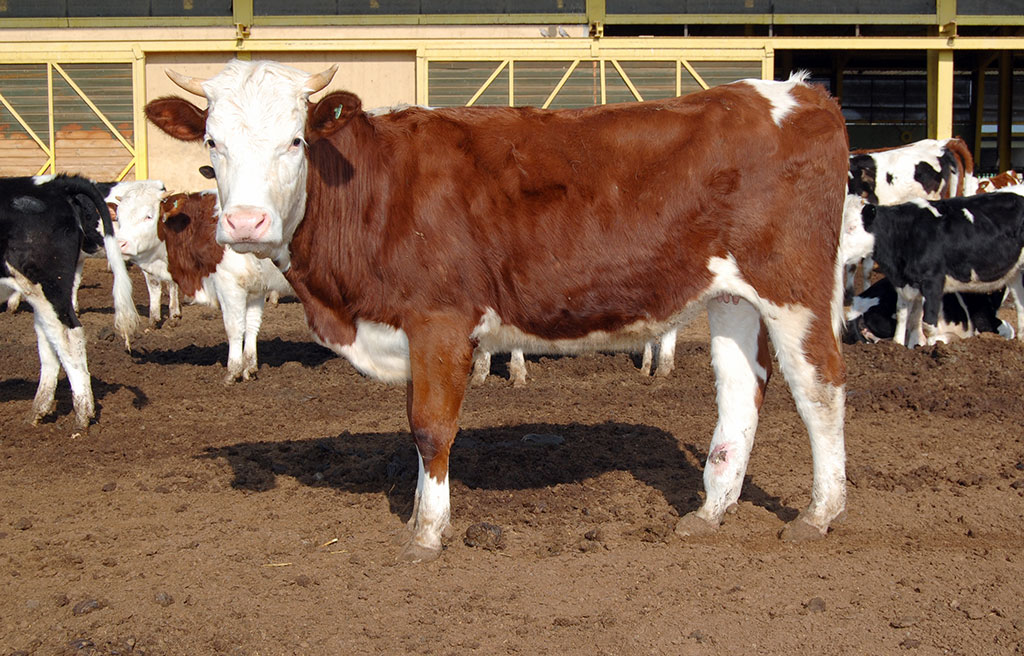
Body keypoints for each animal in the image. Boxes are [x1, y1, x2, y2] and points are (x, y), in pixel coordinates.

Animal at [0, 172, 136, 429]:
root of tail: (56, 184)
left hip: (48, 286)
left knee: (69, 335)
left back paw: (82, 415)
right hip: (41, 294)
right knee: (49, 339)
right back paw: (39, 409)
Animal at [116, 189, 292, 380]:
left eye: (148, 216)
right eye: (118, 217)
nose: (120, 244)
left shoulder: (229, 284)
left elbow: (234, 327)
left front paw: (233, 371)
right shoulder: (255, 288)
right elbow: (252, 325)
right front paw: (249, 369)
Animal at [144, 61, 847, 560]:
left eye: (295, 140)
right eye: (212, 142)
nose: (245, 222)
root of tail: (795, 93)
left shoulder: (439, 319)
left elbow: (431, 427)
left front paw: (427, 533)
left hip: (794, 287)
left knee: (819, 388)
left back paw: (820, 514)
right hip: (731, 295)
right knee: (741, 391)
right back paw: (709, 513)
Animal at [843, 185, 1024, 347]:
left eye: (852, 227)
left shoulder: (933, 281)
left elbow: (927, 324)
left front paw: (931, 348)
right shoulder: (904, 284)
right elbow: (905, 316)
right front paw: (899, 346)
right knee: (1020, 305)